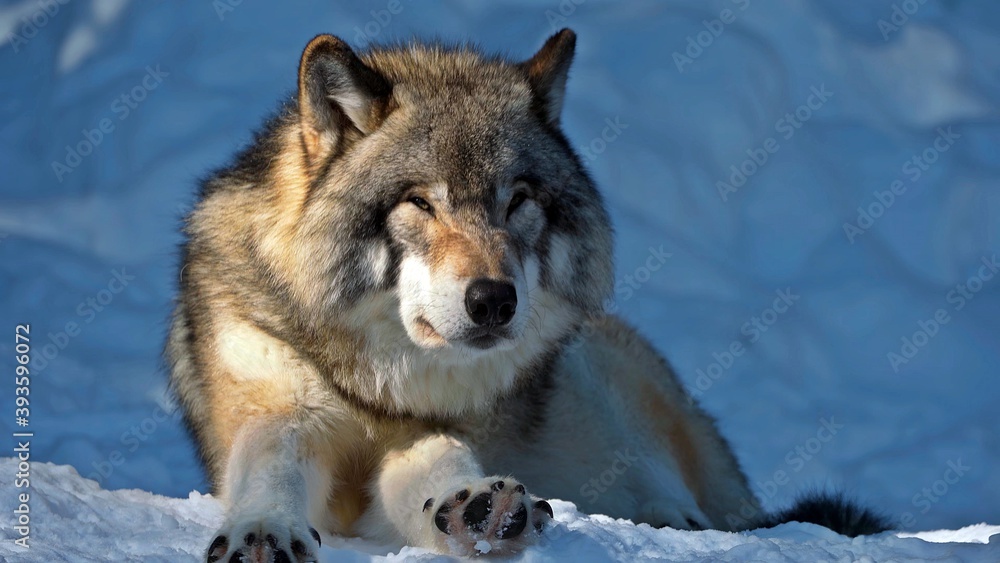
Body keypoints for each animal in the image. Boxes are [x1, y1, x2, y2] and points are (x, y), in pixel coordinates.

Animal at [168, 29, 887, 562]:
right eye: (420, 203)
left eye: (516, 200)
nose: (492, 299)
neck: (381, 385)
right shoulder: (274, 401)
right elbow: (271, 460)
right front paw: (264, 527)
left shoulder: (443, 431)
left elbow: (436, 466)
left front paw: (476, 505)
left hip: (599, 372)